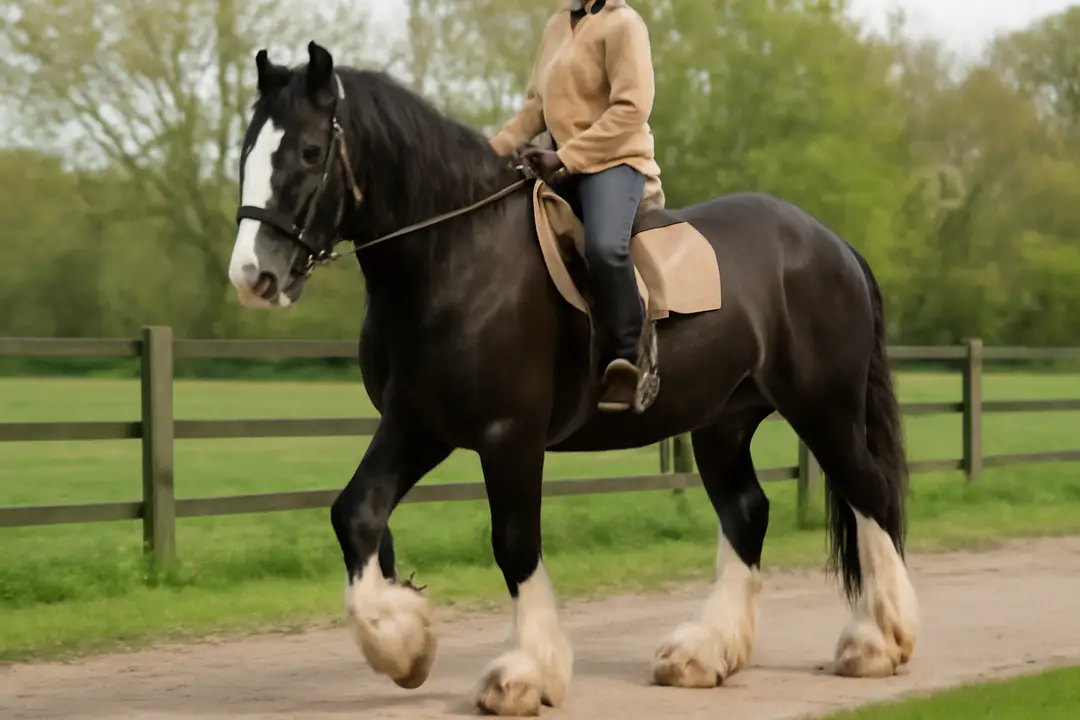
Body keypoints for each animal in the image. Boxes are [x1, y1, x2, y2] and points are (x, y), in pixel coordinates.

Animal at [228, 41, 918, 716]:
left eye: (309, 152)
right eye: (246, 152)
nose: (252, 276)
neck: (458, 254)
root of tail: (832, 244)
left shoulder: (508, 434)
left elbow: (514, 541)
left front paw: (523, 675)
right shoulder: (417, 424)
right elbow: (356, 514)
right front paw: (405, 643)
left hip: (823, 407)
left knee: (869, 493)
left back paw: (878, 642)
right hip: (723, 422)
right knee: (747, 512)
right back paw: (702, 655)